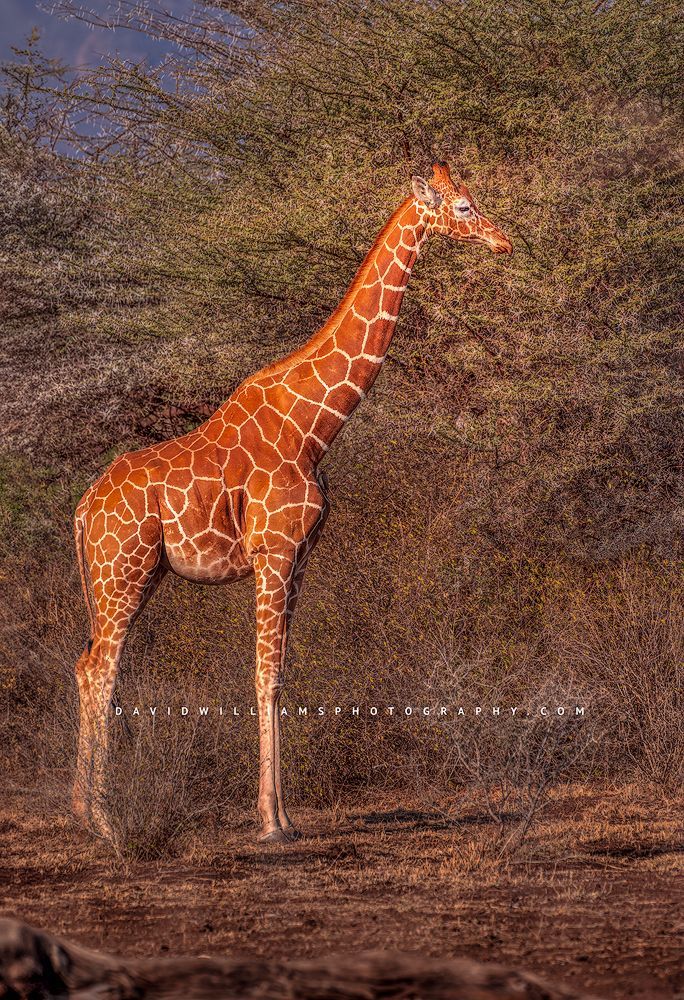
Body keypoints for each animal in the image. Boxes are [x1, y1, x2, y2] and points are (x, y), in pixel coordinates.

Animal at [72, 161, 512, 843]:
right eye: (463, 207)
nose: (504, 242)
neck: (314, 427)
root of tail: (83, 509)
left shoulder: (300, 557)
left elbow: (281, 673)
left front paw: (285, 816)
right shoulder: (274, 552)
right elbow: (266, 676)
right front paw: (271, 822)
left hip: (131, 575)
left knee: (86, 665)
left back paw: (84, 813)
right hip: (124, 570)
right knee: (100, 669)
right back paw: (104, 821)